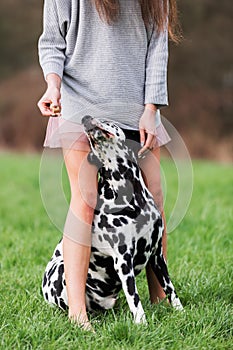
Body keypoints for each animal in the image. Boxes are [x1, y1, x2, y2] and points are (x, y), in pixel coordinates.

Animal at [42, 116, 184, 324]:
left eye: (108, 121)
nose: (85, 118)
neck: (131, 196)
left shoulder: (157, 255)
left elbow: (170, 288)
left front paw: (182, 312)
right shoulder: (123, 260)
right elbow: (134, 298)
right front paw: (142, 323)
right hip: (61, 269)